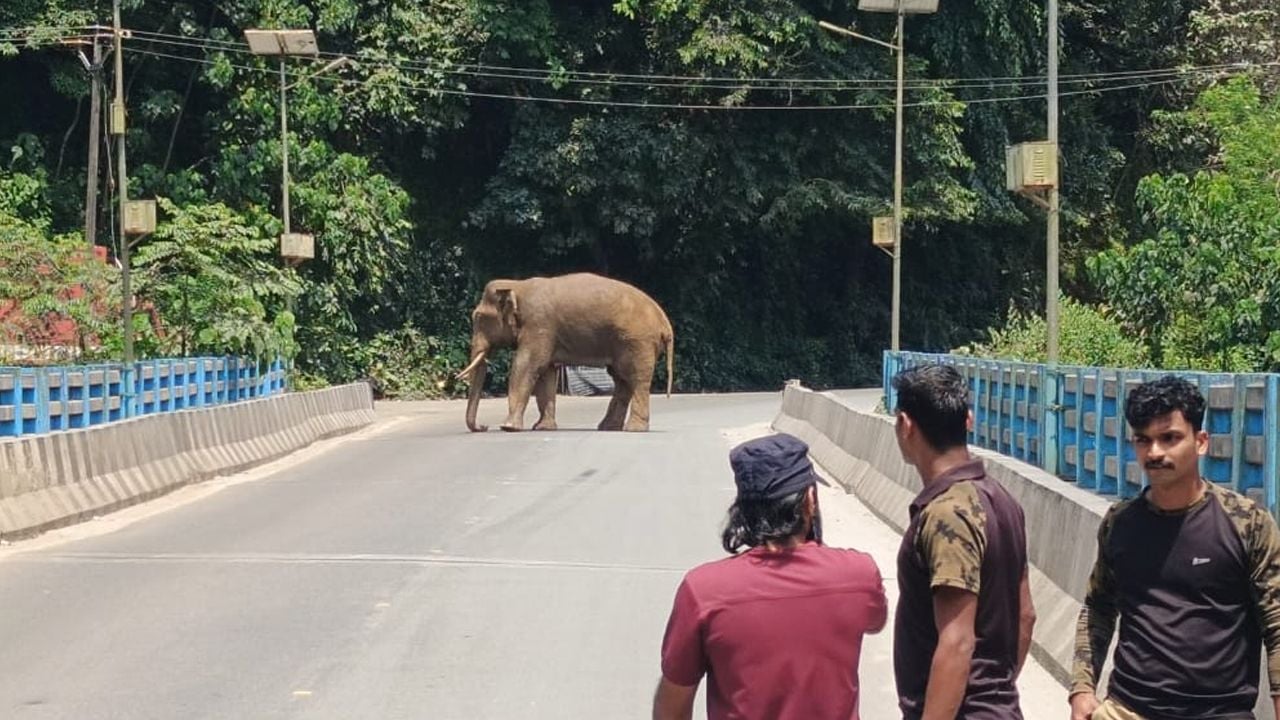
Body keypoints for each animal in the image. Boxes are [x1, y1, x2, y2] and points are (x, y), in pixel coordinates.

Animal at [456, 273, 674, 433]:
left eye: (479, 318)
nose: (484, 426)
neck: (517, 286)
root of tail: (664, 322)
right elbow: (546, 374)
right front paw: (542, 428)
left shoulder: (538, 325)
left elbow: (525, 366)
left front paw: (508, 427)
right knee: (622, 379)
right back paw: (608, 427)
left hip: (638, 342)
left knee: (636, 378)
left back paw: (633, 429)